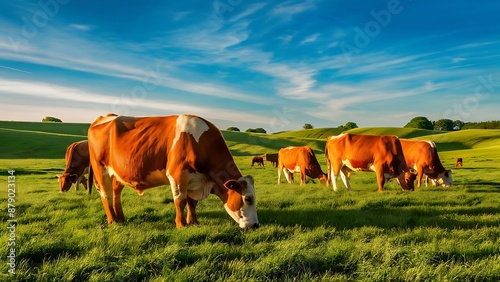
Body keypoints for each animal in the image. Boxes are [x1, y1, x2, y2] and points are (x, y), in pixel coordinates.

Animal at [87, 113, 258, 228]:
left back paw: (121, 218)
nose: (256, 225)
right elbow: (180, 201)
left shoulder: (194, 179)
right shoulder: (177, 174)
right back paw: (113, 221)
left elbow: (192, 202)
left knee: (116, 194)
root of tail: (105, 117)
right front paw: (181, 224)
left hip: (117, 174)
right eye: (248, 198)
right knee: (106, 195)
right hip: (100, 170)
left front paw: (193, 222)